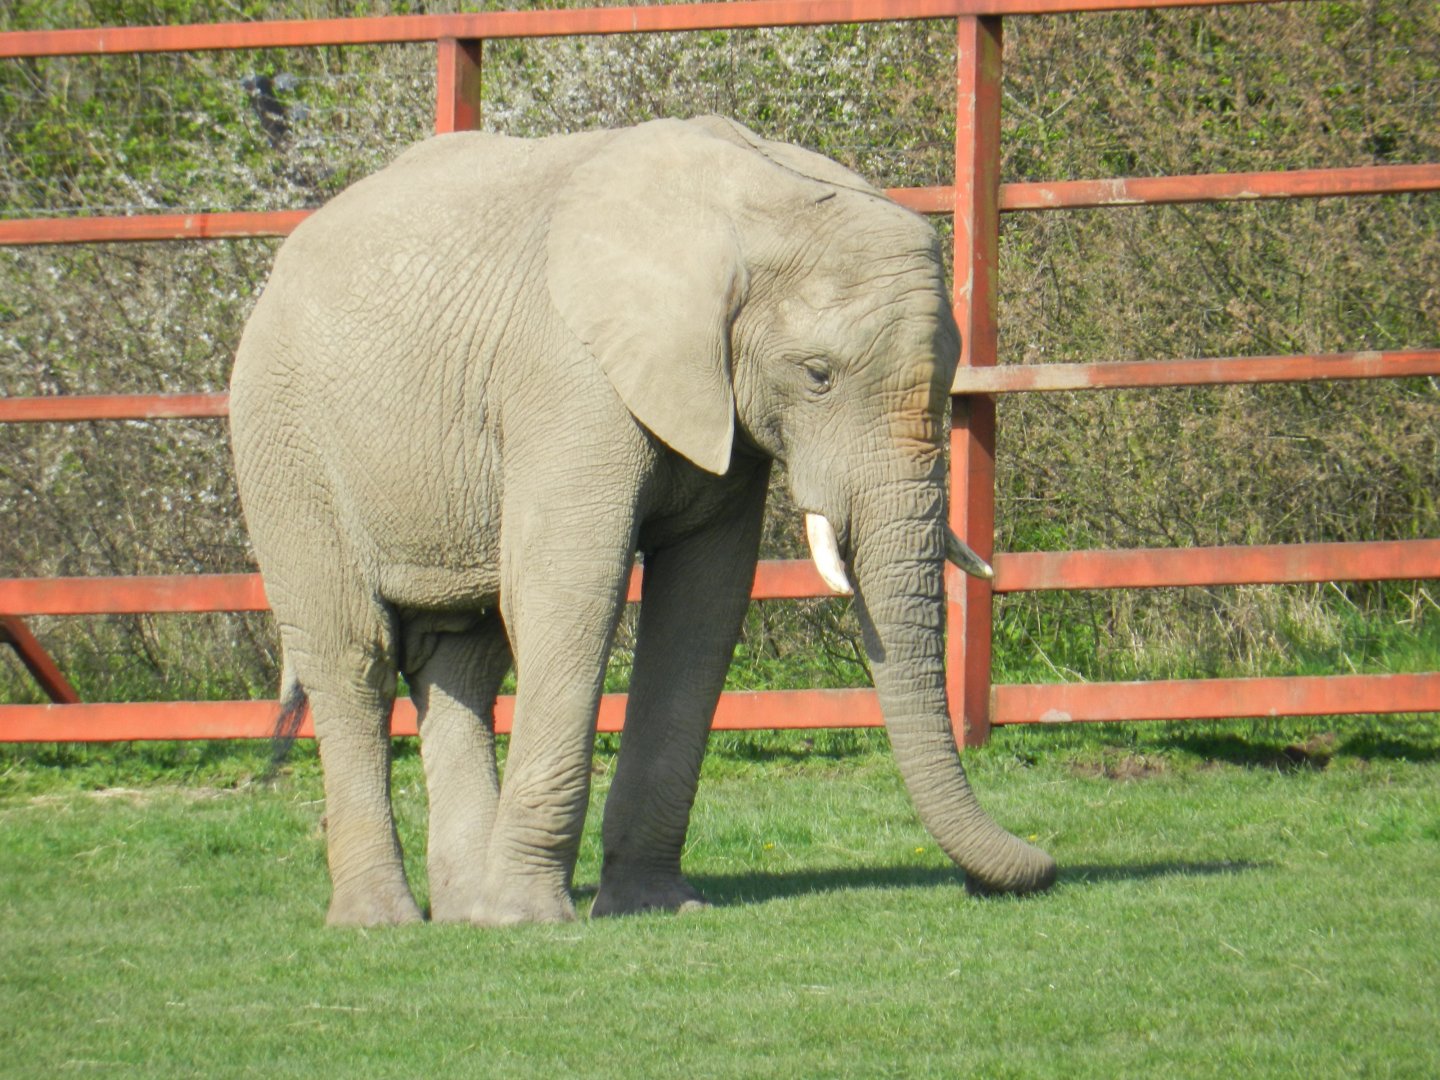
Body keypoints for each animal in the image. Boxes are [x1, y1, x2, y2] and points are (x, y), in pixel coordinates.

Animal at [229, 115, 1057, 927]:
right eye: (817, 375)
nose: (1042, 868)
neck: (754, 205)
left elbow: (703, 606)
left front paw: (656, 904)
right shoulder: (568, 376)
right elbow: (572, 591)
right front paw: (530, 920)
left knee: (460, 657)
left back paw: (465, 913)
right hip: (283, 442)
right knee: (353, 658)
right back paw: (384, 920)